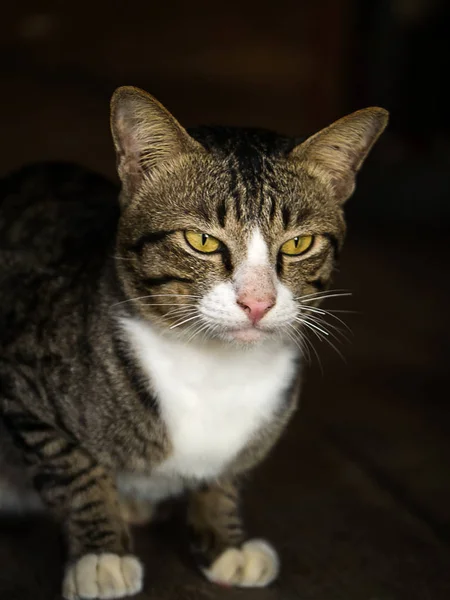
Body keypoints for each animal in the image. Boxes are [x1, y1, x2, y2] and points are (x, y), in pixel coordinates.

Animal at [0, 85, 386, 600]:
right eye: (200, 240)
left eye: (298, 244)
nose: (258, 302)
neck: (213, 367)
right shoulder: (20, 380)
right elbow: (74, 469)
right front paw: (102, 553)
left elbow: (228, 474)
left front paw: (224, 538)